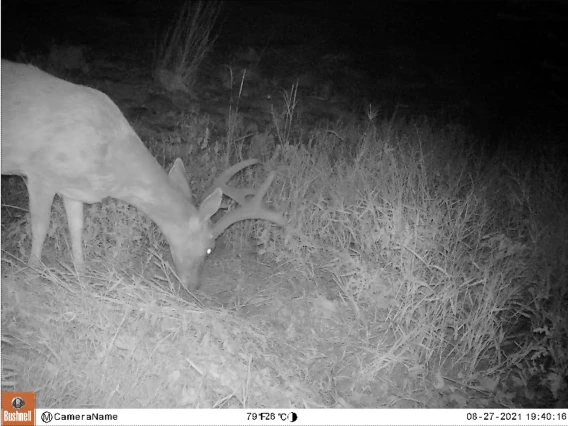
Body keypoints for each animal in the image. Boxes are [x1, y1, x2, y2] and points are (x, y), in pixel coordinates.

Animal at [0, 60, 284, 292]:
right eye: (209, 247)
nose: (194, 286)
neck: (110, 161)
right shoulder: (39, 173)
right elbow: (40, 227)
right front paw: (31, 275)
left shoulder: (74, 188)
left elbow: (76, 229)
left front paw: (82, 277)